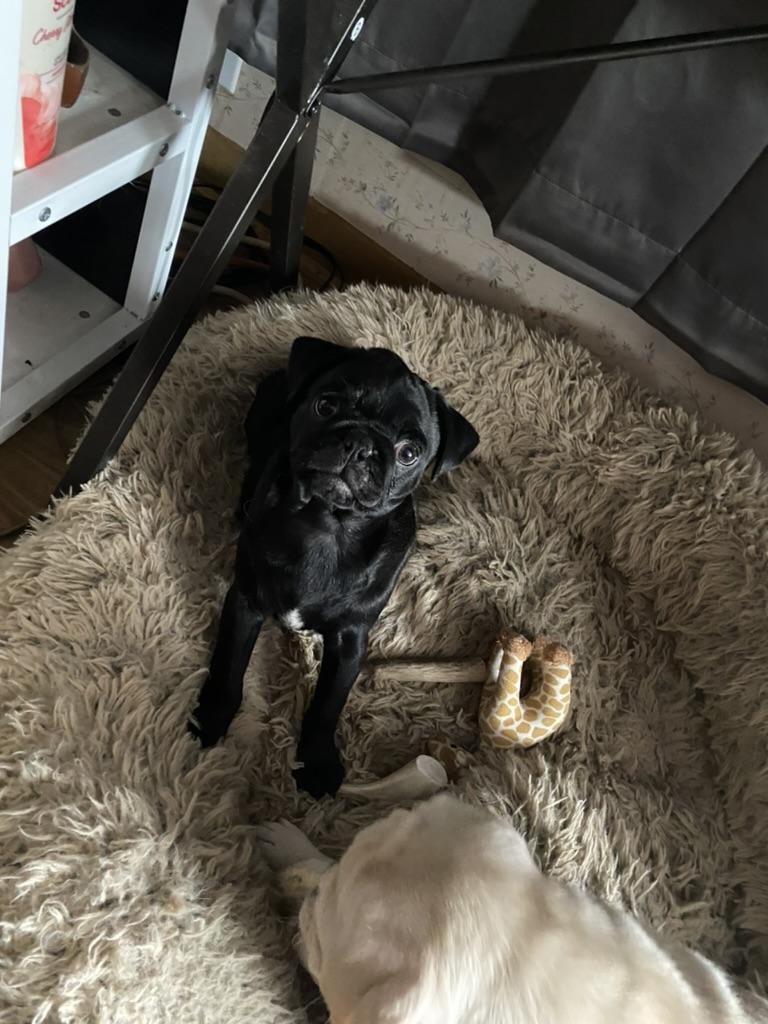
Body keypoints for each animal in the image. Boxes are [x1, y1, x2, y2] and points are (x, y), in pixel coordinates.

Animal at [190, 337, 478, 798]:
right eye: (326, 406)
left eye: (409, 452)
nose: (361, 444)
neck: (326, 525)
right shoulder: (246, 600)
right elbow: (229, 663)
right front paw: (212, 714)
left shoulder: (350, 638)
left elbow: (328, 702)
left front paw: (317, 762)